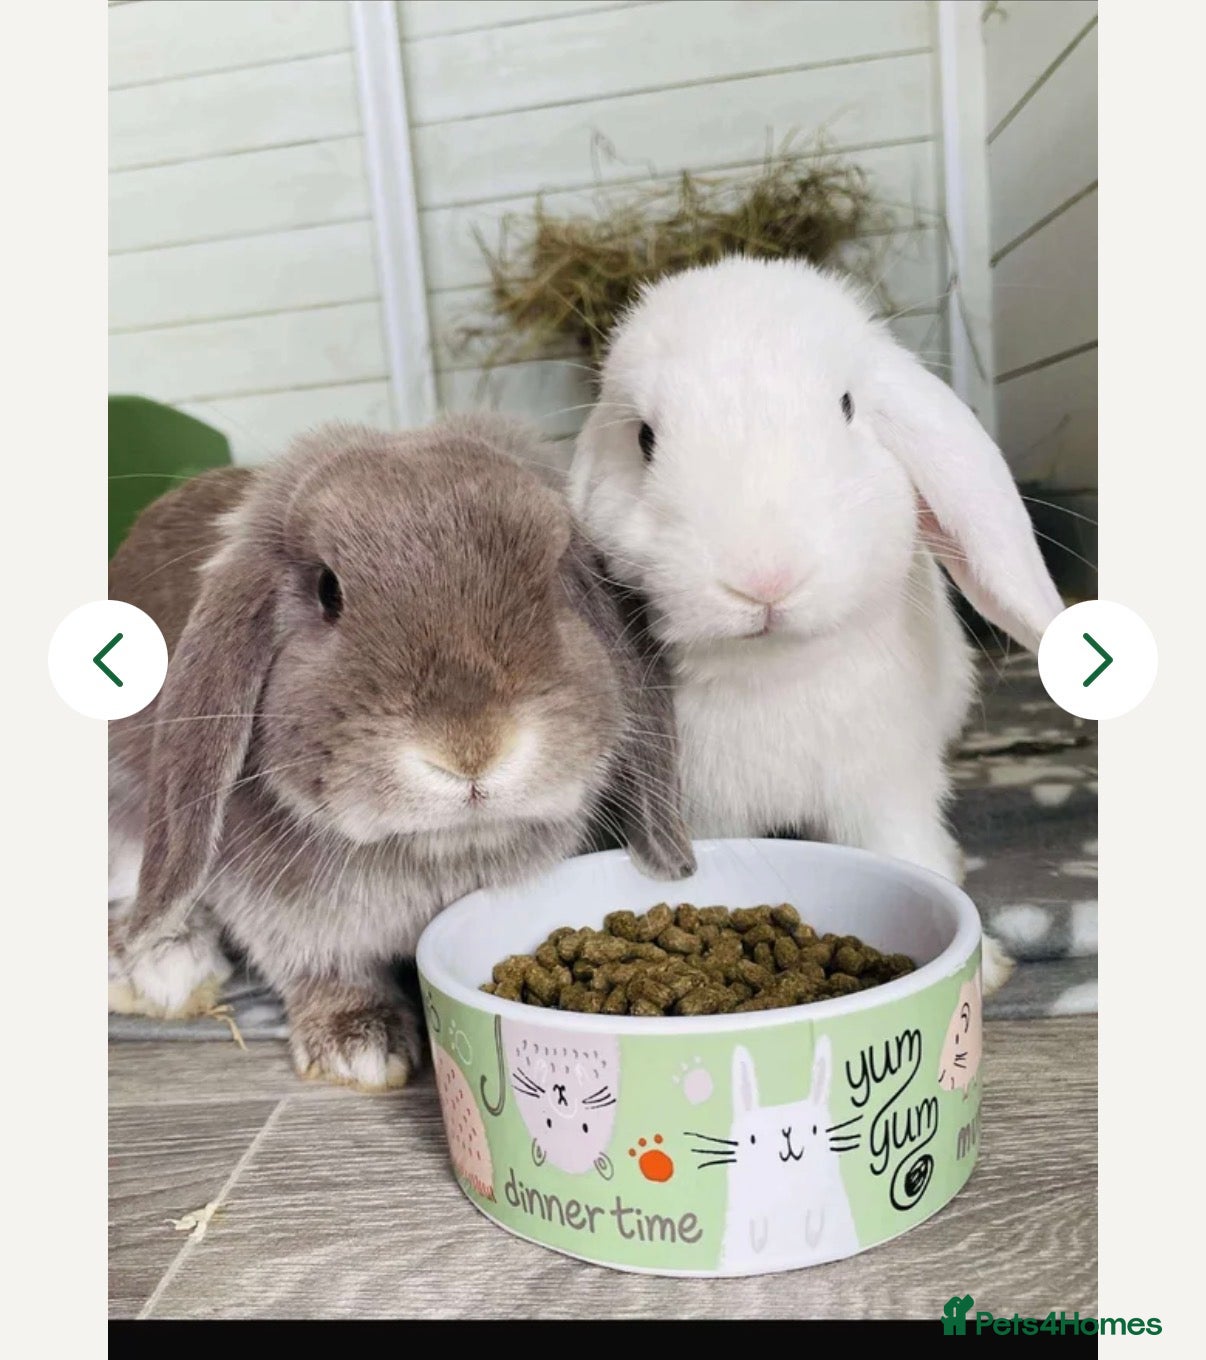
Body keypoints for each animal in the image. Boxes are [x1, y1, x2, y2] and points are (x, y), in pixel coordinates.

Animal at [108, 415, 695, 1090]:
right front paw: (360, 1046)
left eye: (549, 578)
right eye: (328, 590)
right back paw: (164, 965)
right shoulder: (281, 913)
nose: (471, 750)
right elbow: (319, 964)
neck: (435, 848)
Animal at [568, 257, 1066, 993]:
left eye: (847, 406)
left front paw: (989, 967)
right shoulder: (706, 809)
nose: (763, 578)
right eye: (645, 440)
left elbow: (905, 852)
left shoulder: (883, 788)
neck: (775, 668)